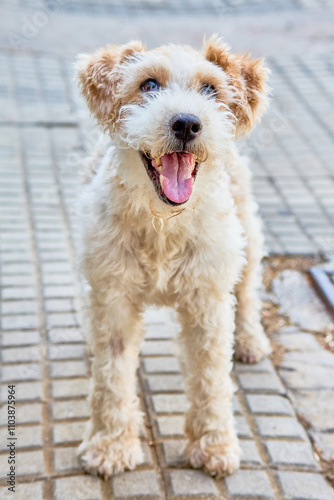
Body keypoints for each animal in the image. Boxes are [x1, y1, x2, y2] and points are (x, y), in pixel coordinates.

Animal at [75, 36, 272, 480]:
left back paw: (250, 340)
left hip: (247, 239)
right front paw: (111, 446)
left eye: (211, 89)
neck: (163, 226)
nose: (186, 123)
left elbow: (211, 379)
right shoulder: (113, 297)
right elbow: (112, 378)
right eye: (149, 84)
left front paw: (214, 446)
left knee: (248, 291)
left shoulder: (208, 303)